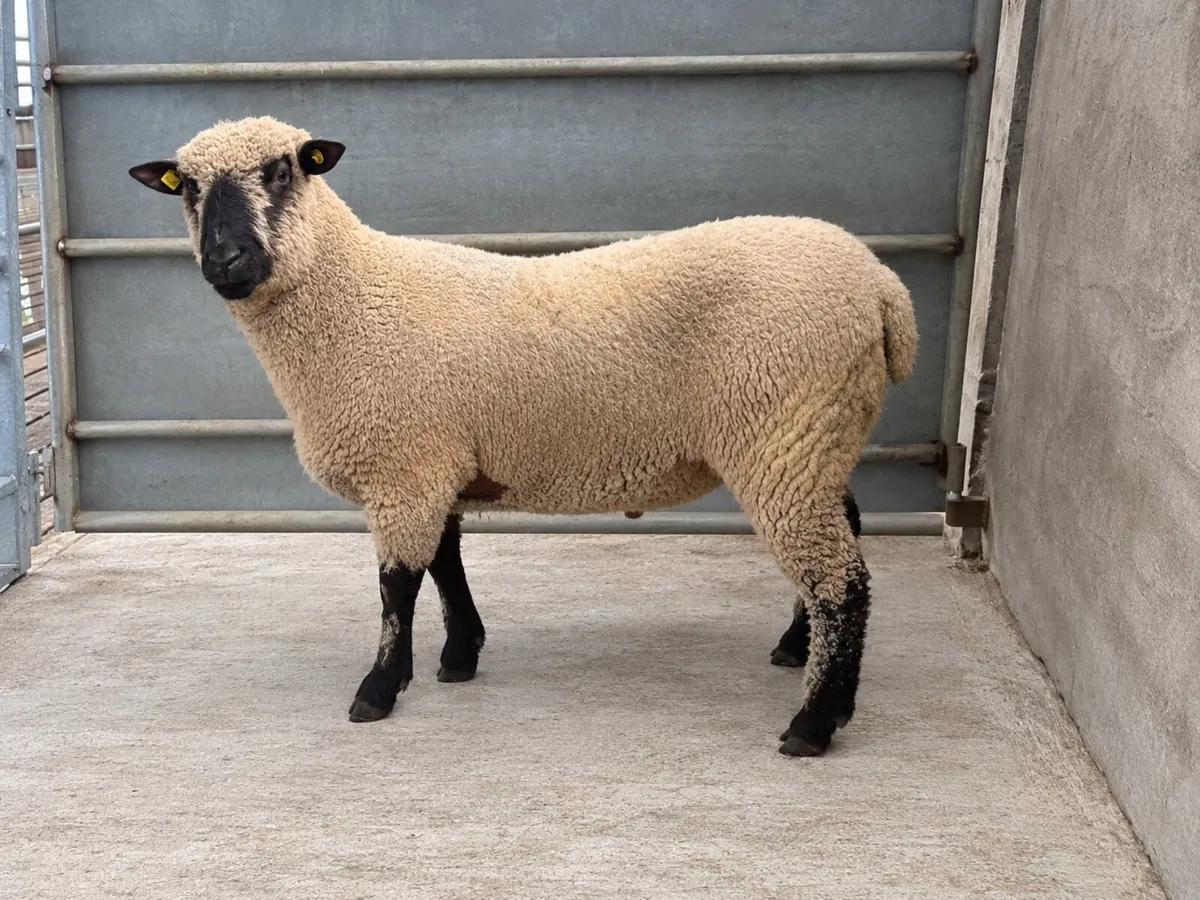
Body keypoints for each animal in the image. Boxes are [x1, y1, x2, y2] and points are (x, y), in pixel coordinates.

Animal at [129, 115, 918, 757]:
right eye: (185, 187)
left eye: (283, 170)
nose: (224, 261)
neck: (352, 298)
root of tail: (883, 289)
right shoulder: (436, 463)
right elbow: (445, 564)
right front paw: (460, 654)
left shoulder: (403, 466)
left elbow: (396, 585)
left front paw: (379, 689)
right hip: (816, 435)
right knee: (841, 536)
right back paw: (795, 649)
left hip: (783, 432)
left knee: (841, 580)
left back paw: (814, 722)